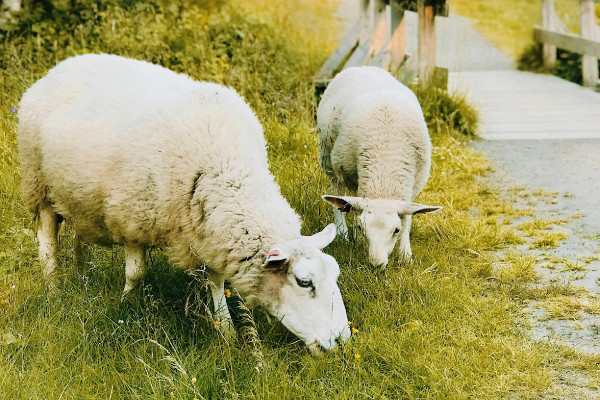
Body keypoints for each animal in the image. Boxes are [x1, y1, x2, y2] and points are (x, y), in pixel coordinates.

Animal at [17, 54, 352, 354]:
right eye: (304, 282)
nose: (342, 341)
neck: (225, 167)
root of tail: (60, 67)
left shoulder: (210, 231)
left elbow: (216, 282)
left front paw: (226, 331)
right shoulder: (133, 217)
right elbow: (135, 273)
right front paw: (126, 306)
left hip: (78, 198)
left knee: (79, 239)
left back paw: (82, 275)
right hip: (39, 186)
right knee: (48, 244)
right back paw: (55, 288)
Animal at [318, 65, 440, 268]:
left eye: (396, 230)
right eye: (362, 227)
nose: (376, 264)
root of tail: (362, 67)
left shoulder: (412, 186)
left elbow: (408, 216)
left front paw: (405, 254)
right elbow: (353, 206)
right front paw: (358, 237)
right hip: (328, 156)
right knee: (337, 190)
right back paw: (343, 232)